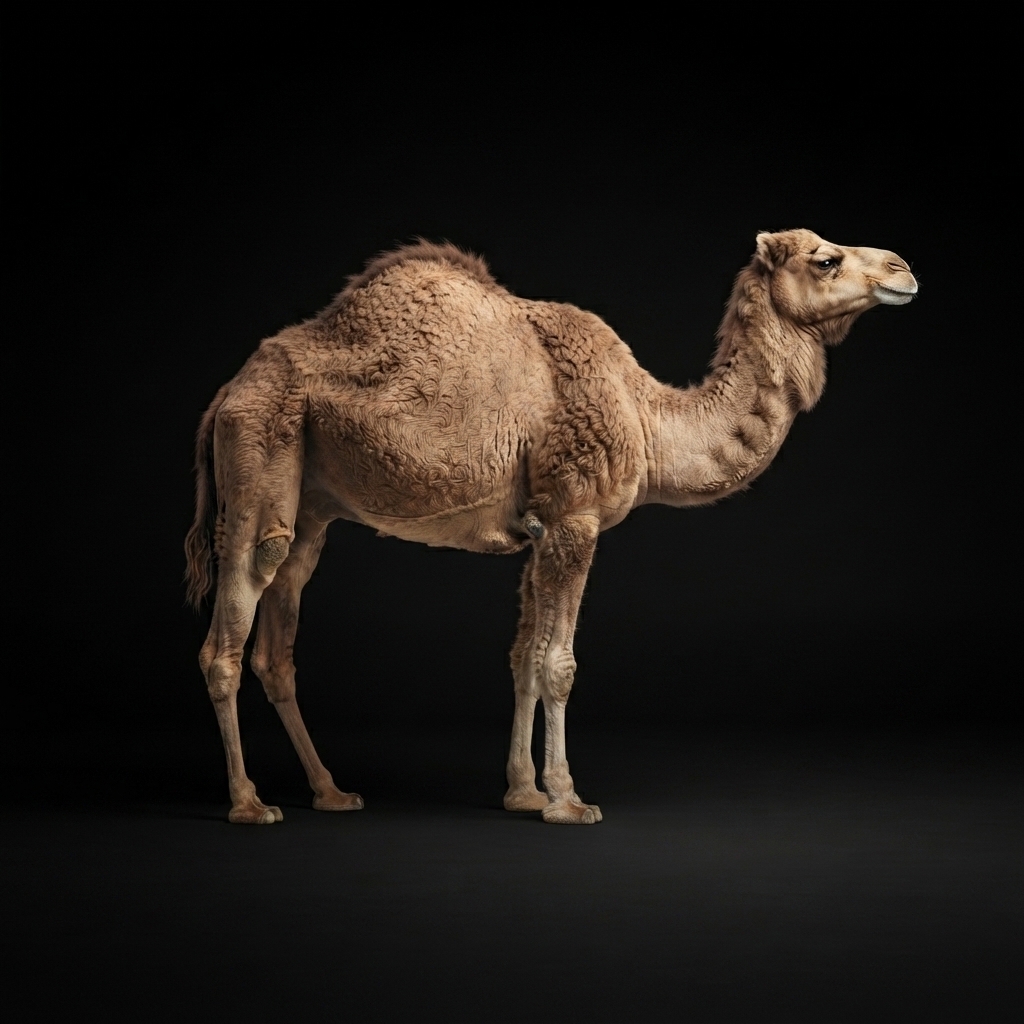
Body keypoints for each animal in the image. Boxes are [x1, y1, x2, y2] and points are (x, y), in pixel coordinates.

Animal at [185, 229, 917, 825]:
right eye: (825, 258)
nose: (904, 269)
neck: (646, 416)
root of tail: (225, 394)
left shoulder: (537, 530)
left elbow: (523, 660)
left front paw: (522, 792)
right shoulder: (574, 517)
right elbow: (559, 664)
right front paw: (567, 799)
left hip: (309, 506)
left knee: (277, 644)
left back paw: (331, 791)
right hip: (260, 452)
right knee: (229, 630)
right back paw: (249, 803)